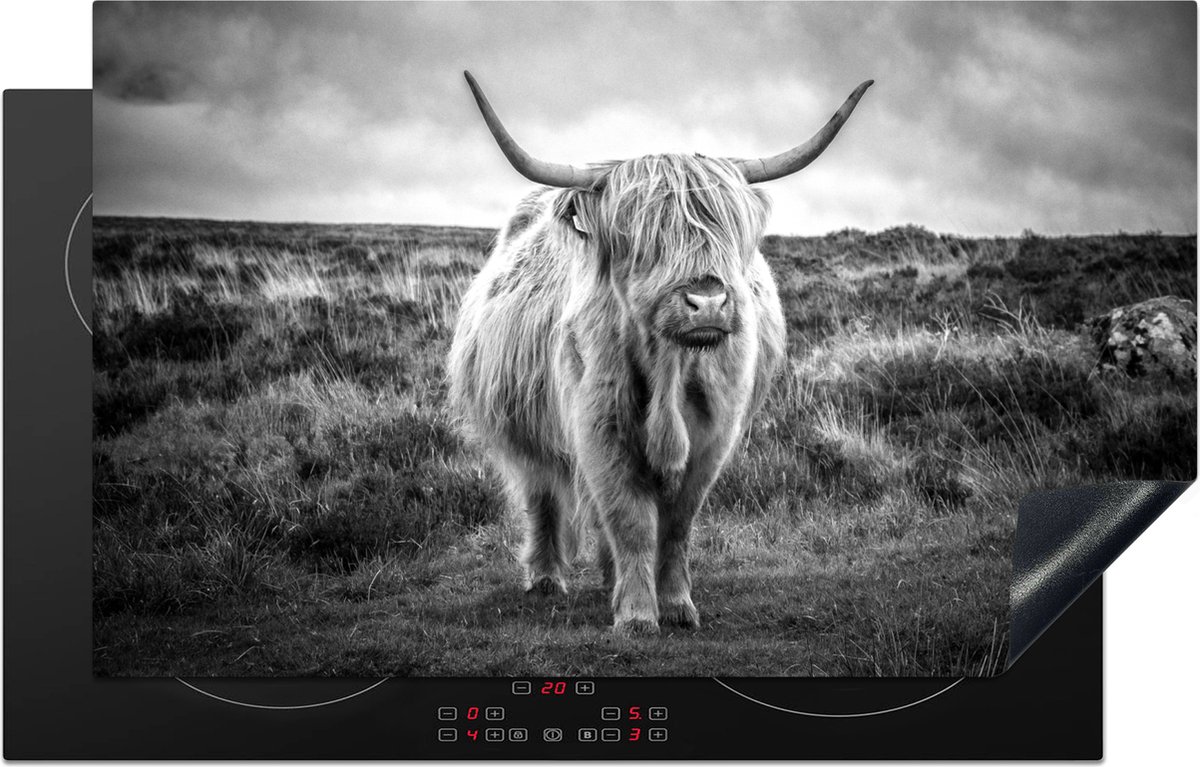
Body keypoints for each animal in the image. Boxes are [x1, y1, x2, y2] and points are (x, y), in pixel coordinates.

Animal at [448, 71, 872, 635]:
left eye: (727, 230)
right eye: (642, 237)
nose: (707, 301)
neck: (670, 370)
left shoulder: (714, 437)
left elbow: (675, 525)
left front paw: (675, 605)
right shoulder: (598, 428)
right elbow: (628, 519)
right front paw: (635, 615)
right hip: (522, 425)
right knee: (542, 494)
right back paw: (546, 577)